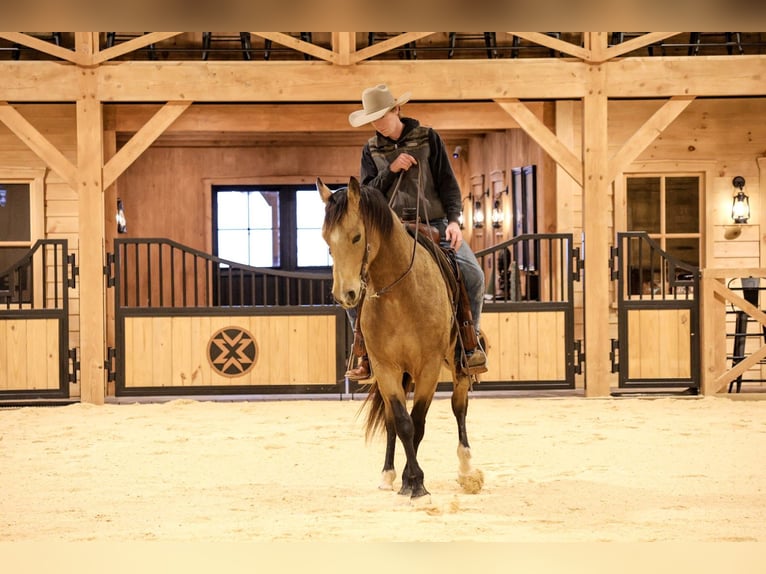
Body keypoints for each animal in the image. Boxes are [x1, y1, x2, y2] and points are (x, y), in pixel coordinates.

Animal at [318, 176, 484, 502]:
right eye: (327, 240)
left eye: (357, 237)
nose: (345, 295)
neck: (400, 295)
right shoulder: (386, 369)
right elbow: (402, 422)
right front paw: (410, 480)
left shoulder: (428, 368)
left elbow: (417, 423)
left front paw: (415, 483)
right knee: (393, 421)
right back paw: (389, 474)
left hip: (457, 364)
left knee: (459, 406)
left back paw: (467, 468)